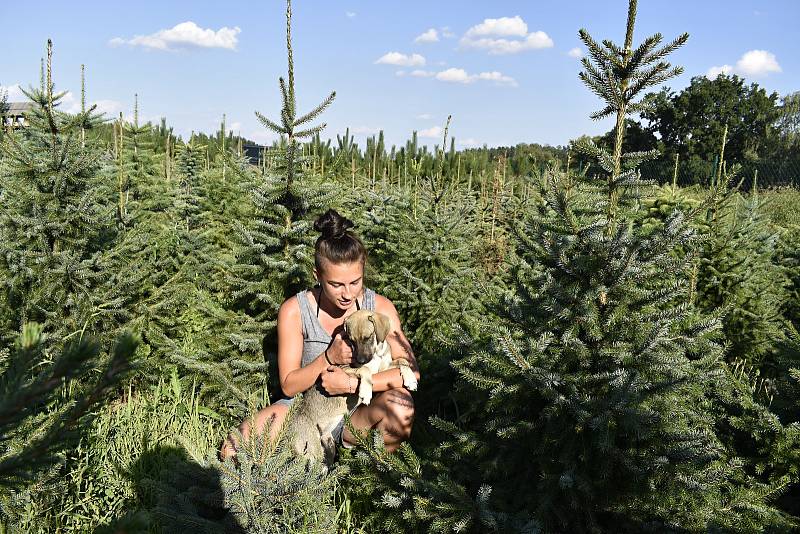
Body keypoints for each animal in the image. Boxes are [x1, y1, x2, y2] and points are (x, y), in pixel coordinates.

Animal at [288, 310, 418, 468]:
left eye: (367, 337)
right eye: (351, 340)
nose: (360, 360)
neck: (376, 354)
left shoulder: (383, 369)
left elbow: (403, 361)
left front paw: (411, 379)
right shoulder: (346, 369)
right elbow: (365, 370)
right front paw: (366, 392)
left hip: (327, 444)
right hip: (311, 451)